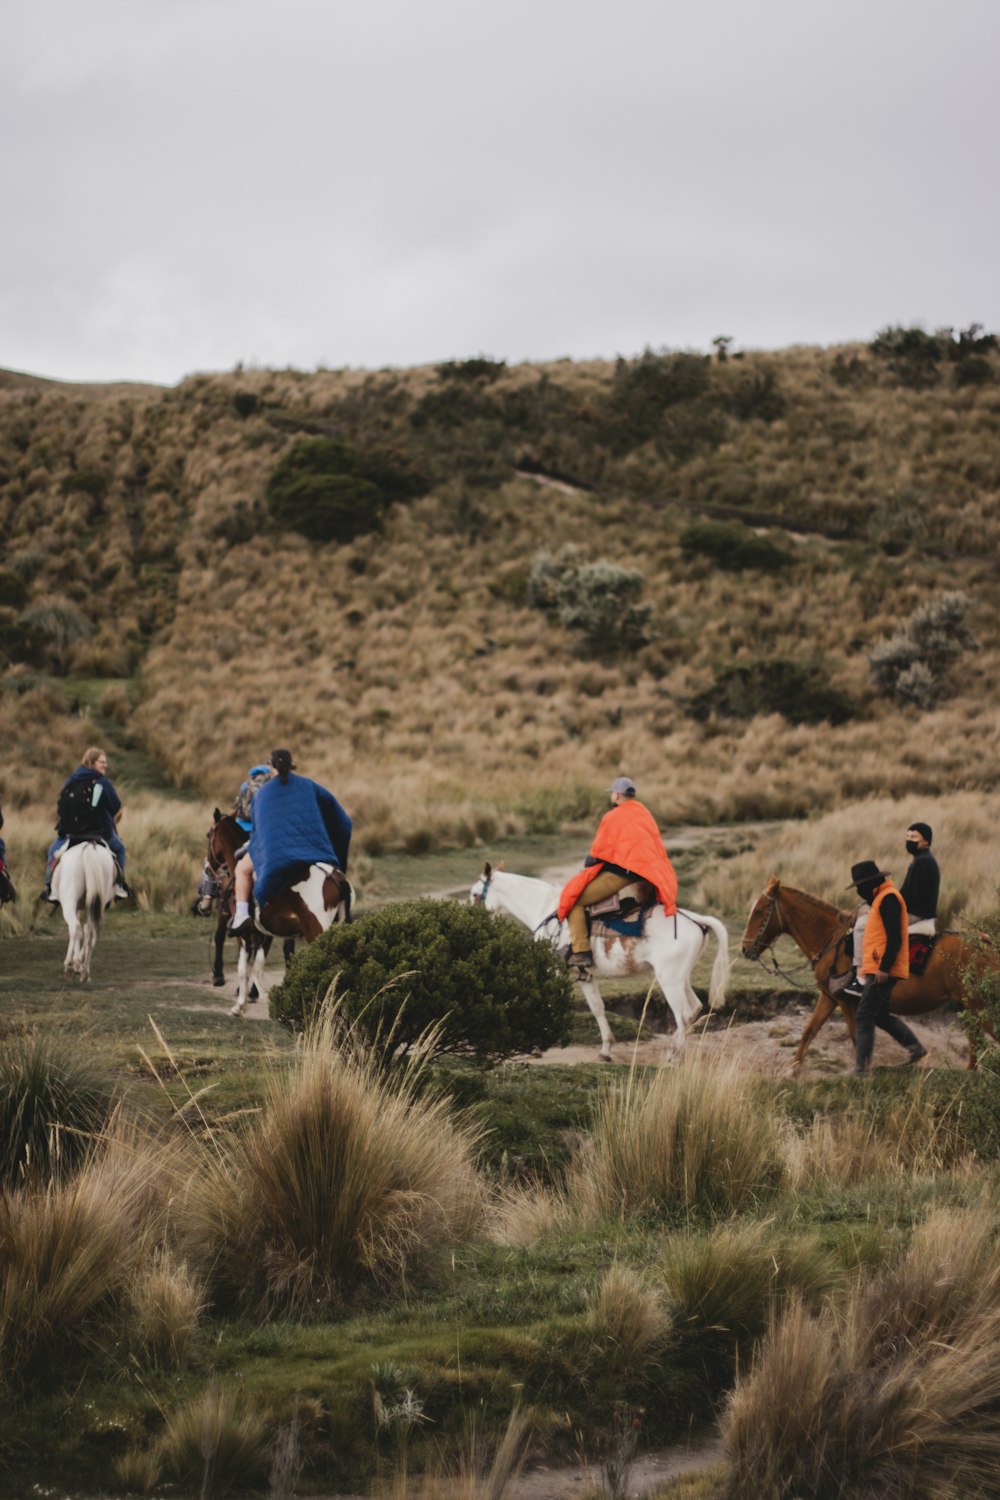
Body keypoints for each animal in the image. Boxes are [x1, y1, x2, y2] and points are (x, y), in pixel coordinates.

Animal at [48, 846, 116, 984]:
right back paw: (85, 973)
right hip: (98, 903)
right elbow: (84, 931)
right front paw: (79, 965)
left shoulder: (75, 906)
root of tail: (90, 846)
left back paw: (70, 963)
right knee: (91, 931)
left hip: (69, 901)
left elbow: (77, 930)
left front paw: (74, 965)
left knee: (75, 927)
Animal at [206, 810, 352, 1020]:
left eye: (209, 835)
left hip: (318, 933)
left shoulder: (244, 934)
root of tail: (336, 878)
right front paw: (259, 996)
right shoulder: (263, 934)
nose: (208, 867)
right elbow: (258, 967)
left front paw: (240, 1005)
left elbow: (243, 969)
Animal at [473, 864, 731, 1062]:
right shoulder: (586, 975)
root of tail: (697, 920)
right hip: (680, 978)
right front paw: (606, 1049)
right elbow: (597, 1008)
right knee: (695, 1007)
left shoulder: (552, 969)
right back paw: (674, 1050)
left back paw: (674, 1056)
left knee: (683, 1014)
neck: (546, 910)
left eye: (475, 894)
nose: (473, 915)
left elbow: (550, 1004)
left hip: (669, 980)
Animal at [740, 876, 995, 1074]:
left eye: (760, 911)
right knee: (975, 1044)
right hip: (967, 1006)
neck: (832, 940)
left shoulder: (846, 1001)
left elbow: (856, 1037)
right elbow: (809, 1031)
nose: (745, 949)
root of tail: (984, 942)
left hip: (977, 1006)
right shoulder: (829, 997)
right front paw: (793, 1069)